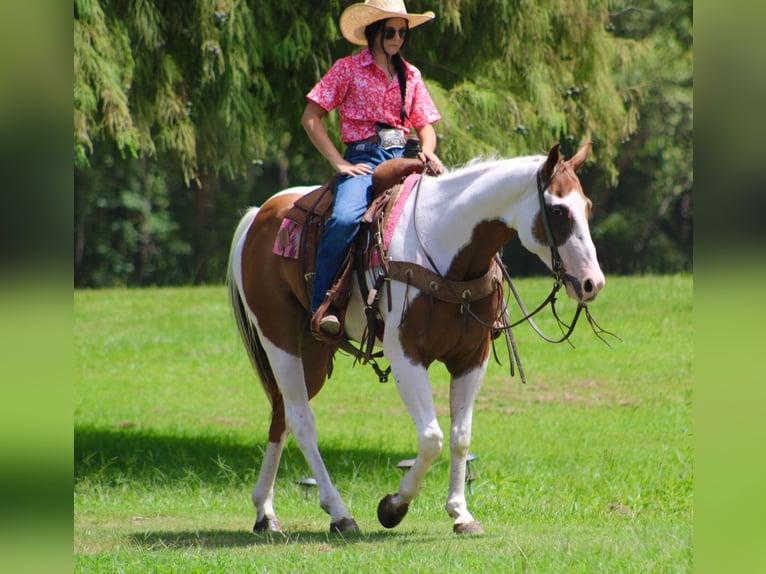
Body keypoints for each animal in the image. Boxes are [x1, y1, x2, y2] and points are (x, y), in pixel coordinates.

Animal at [227, 142, 605, 535]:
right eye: (559, 210)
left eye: (587, 206)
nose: (592, 283)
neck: (447, 248)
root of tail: (258, 215)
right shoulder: (406, 356)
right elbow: (431, 438)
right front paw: (393, 507)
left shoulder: (472, 358)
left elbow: (460, 436)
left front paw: (461, 513)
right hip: (279, 337)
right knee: (301, 421)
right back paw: (339, 513)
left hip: (313, 351)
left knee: (281, 415)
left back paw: (265, 512)